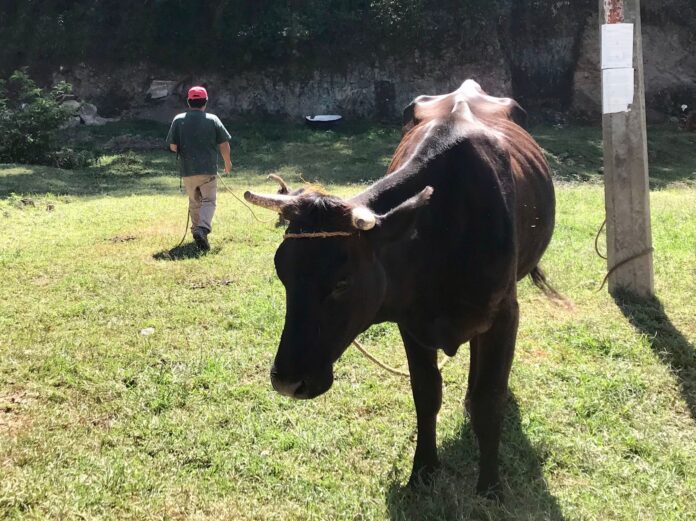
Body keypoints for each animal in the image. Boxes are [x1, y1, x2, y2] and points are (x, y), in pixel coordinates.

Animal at [244, 80, 557, 497]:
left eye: (342, 281)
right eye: (282, 272)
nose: (287, 381)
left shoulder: (506, 314)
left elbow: (490, 400)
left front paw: (490, 485)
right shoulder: (412, 323)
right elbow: (426, 394)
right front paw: (422, 469)